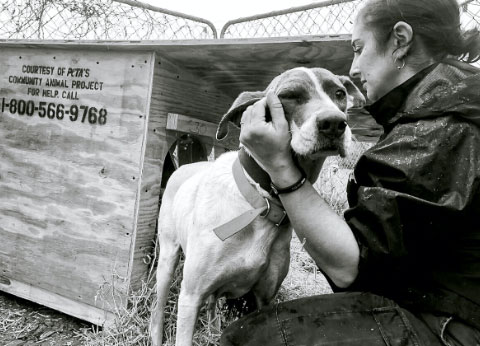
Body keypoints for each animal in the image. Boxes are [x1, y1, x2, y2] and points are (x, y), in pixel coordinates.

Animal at [150, 67, 364, 346]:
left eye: (339, 93)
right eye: (289, 96)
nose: (334, 123)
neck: (262, 200)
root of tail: (184, 167)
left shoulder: (264, 298)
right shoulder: (190, 296)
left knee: (212, 304)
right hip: (167, 259)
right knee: (158, 307)